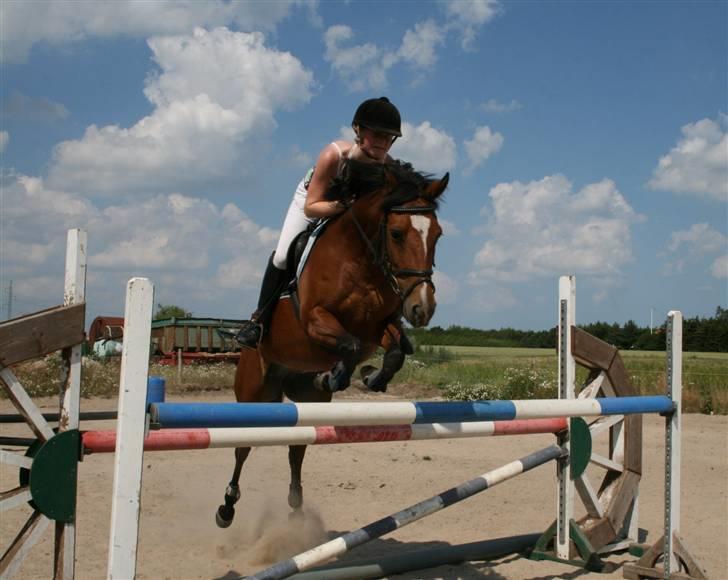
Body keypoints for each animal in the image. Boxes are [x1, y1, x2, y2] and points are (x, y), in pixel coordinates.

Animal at [213, 159, 446, 524]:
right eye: (396, 233)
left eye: (437, 235)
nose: (422, 308)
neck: (361, 260)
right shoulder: (314, 319)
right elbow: (349, 346)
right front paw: (336, 375)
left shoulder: (376, 328)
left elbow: (394, 352)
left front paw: (369, 376)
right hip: (253, 392)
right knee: (243, 448)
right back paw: (226, 506)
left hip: (308, 402)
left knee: (297, 447)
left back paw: (296, 504)